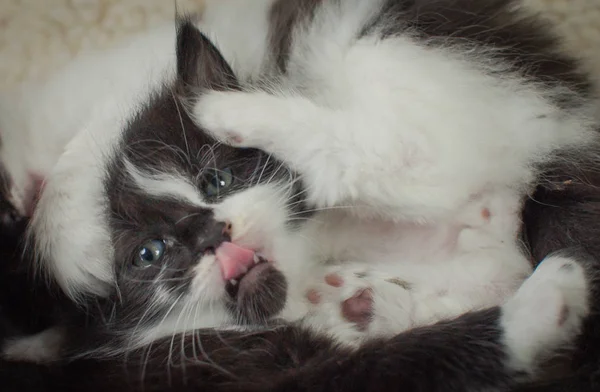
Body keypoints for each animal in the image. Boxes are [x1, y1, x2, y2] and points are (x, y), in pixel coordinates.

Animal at [1, 0, 600, 392]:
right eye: (148, 255)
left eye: (215, 181)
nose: (209, 233)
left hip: (380, 60)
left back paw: (227, 108)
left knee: (407, 153)